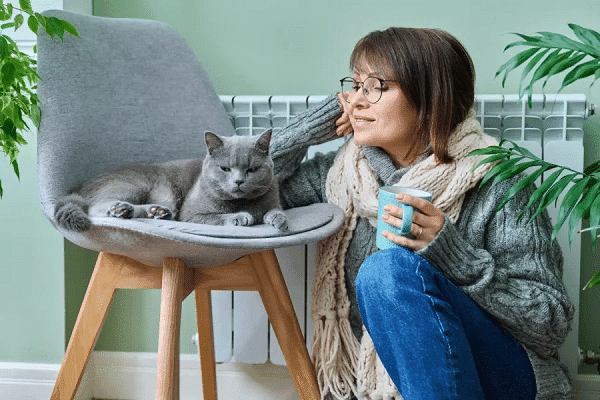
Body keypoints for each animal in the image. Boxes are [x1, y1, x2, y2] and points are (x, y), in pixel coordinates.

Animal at [54, 129, 287, 232]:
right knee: (96, 208)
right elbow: (217, 217)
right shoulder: (191, 214)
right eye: (225, 168)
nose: (239, 181)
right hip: (137, 185)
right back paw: (123, 209)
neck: (241, 202)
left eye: (252, 169)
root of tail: (80, 187)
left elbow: (275, 210)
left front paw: (278, 219)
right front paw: (241, 217)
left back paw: (155, 212)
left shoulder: (272, 199)